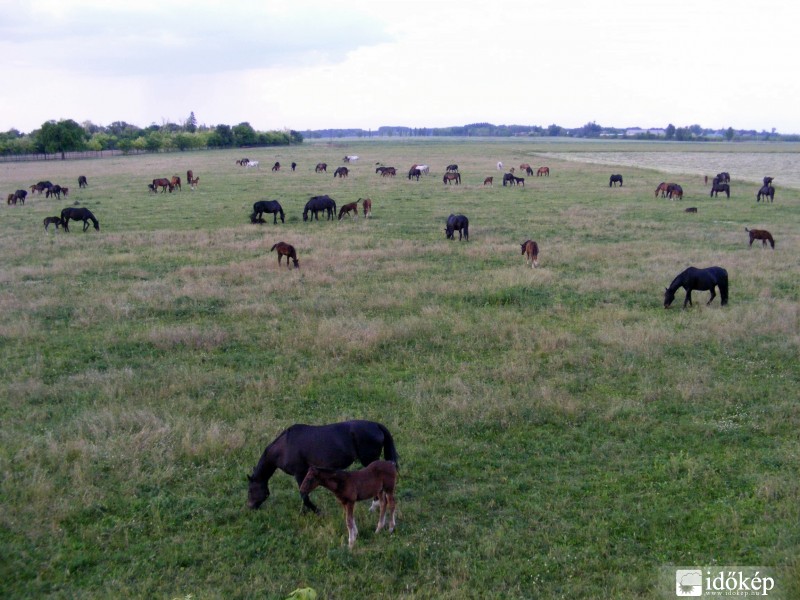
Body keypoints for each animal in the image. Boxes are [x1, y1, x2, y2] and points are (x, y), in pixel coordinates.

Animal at [245, 420, 398, 512]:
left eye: (250, 491)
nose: (250, 507)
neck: (284, 447)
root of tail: (376, 425)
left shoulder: (300, 473)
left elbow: (303, 494)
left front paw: (316, 511)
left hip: (369, 460)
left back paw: (374, 506)